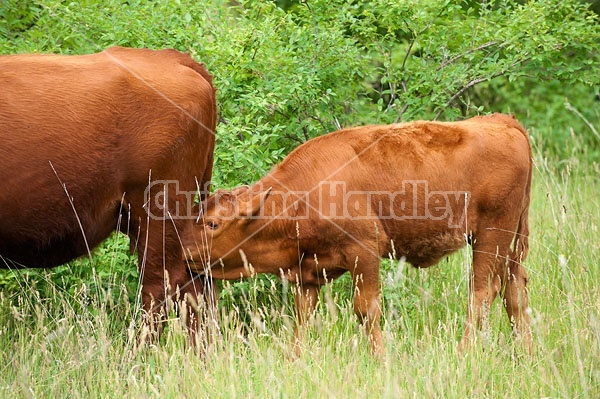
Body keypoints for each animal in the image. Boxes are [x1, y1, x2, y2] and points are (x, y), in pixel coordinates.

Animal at [183, 114, 528, 358]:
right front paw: (295, 358)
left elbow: (366, 310)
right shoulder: (308, 272)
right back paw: (524, 353)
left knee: (482, 292)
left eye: (212, 223)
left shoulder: (364, 252)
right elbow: (302, 315)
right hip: (510, 242)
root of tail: (504, 122)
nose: (181, 247)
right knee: (514, 290)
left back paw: (463, 352)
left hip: (491, 236)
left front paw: (379, 358)